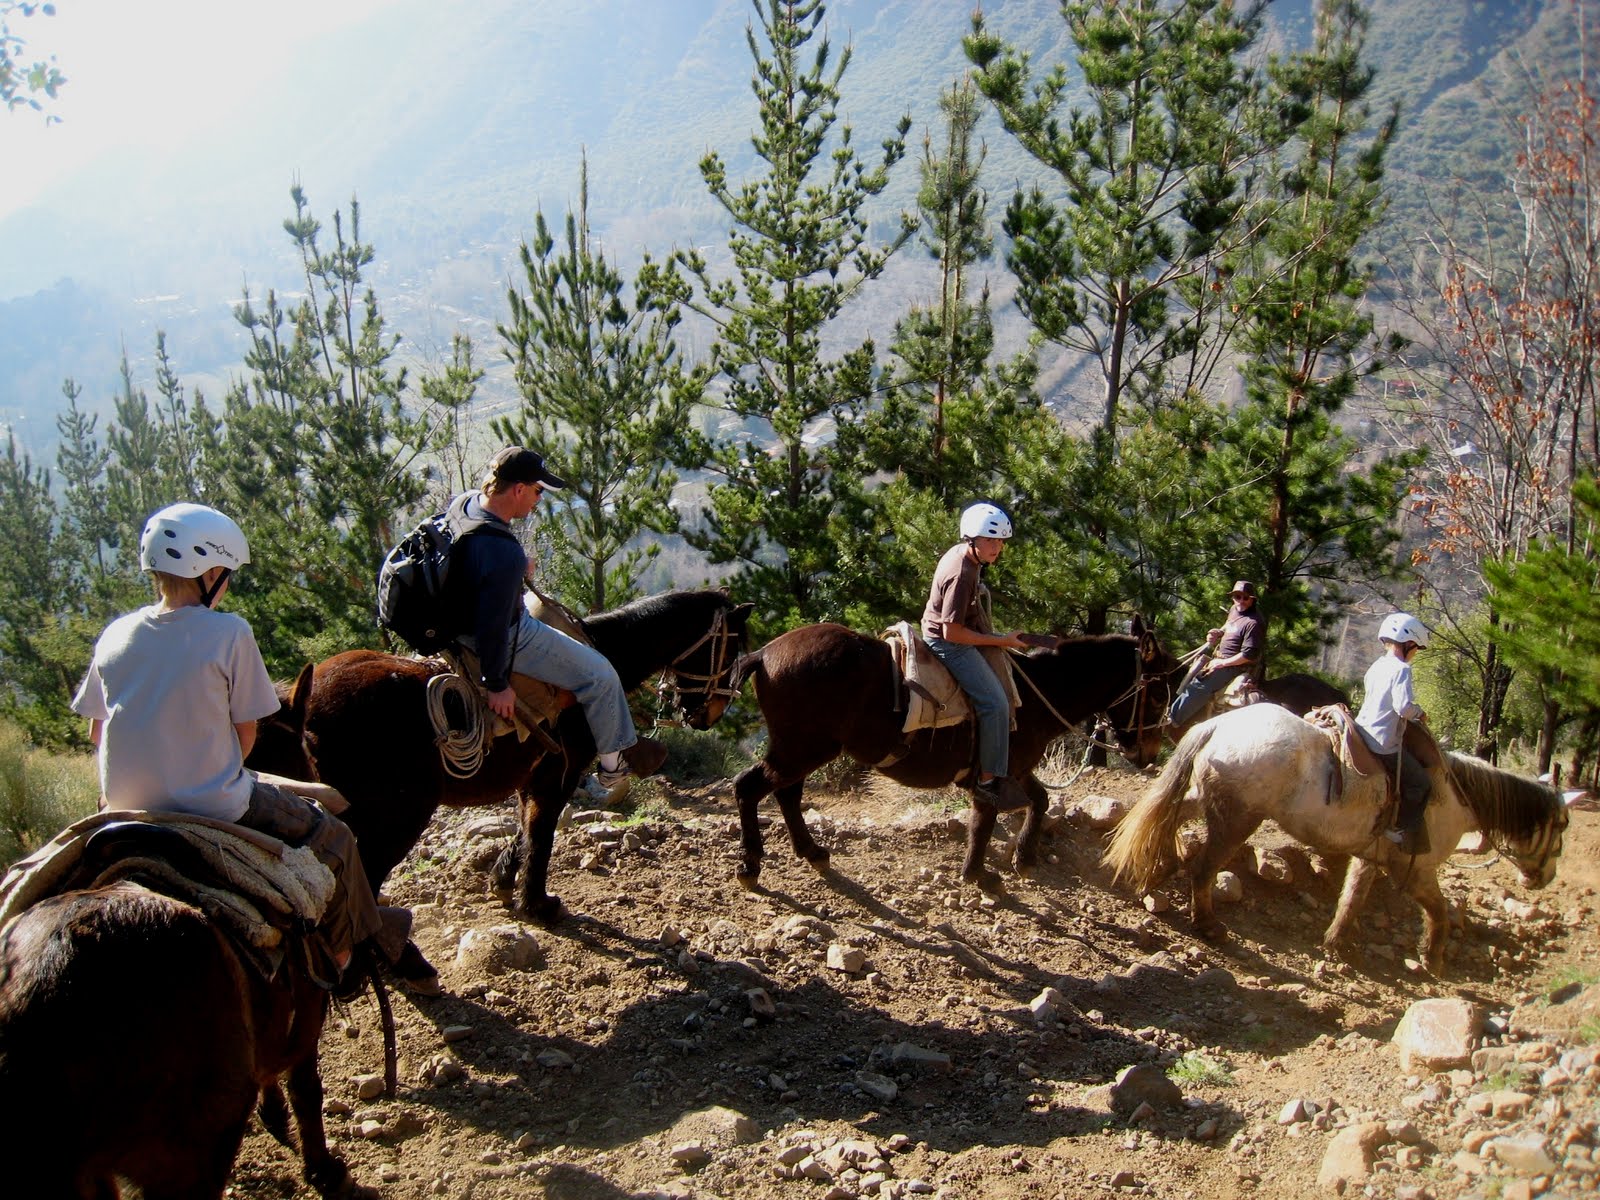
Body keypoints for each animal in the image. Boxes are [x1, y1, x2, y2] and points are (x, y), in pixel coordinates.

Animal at [0, 675, 374, 1200]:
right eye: (310, 751)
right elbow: (306, 1088)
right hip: (186, 1157)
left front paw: (274, 1115)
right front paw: (323, 1168)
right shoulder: (305, 1017)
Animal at [251, 590, 752, 934]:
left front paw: (504, 880)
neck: (602, 655)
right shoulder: (558, 775)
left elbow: (526, 829)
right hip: (394, 819)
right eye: (730, 649)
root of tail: (301, 706)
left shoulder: (532, 777)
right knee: (367, 882)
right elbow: (543, 834)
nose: (711, 714)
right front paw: (537, 903)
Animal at [729, 616, 1179, 891]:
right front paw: (979, 874)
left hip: (801, 750)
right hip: (803, 749)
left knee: (786, 793)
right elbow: (984, 820)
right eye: (1158, 695)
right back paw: (751, 865)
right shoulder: (993, 773)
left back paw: (812, 852)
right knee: (749, 787)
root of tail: (764, 654)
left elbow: (1040, 800)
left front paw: (1024, 857)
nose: (1148, 753)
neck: (1039, 691)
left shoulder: (1014, 769)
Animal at [1103, 704, 1569, 974]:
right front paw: (1433, 959)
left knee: (1168, 817)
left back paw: (1154, 874)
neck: (1455, 794)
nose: (1543, 879)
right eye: (1562, 827)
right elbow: (1437, 909)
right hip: (1237, 819)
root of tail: (1219, 724)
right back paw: (1208, 925)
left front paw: (1337, 946)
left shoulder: (1370, 858)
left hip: (1206, 800)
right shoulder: (1415, 870)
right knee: (1203, 867)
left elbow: (1352, 898)